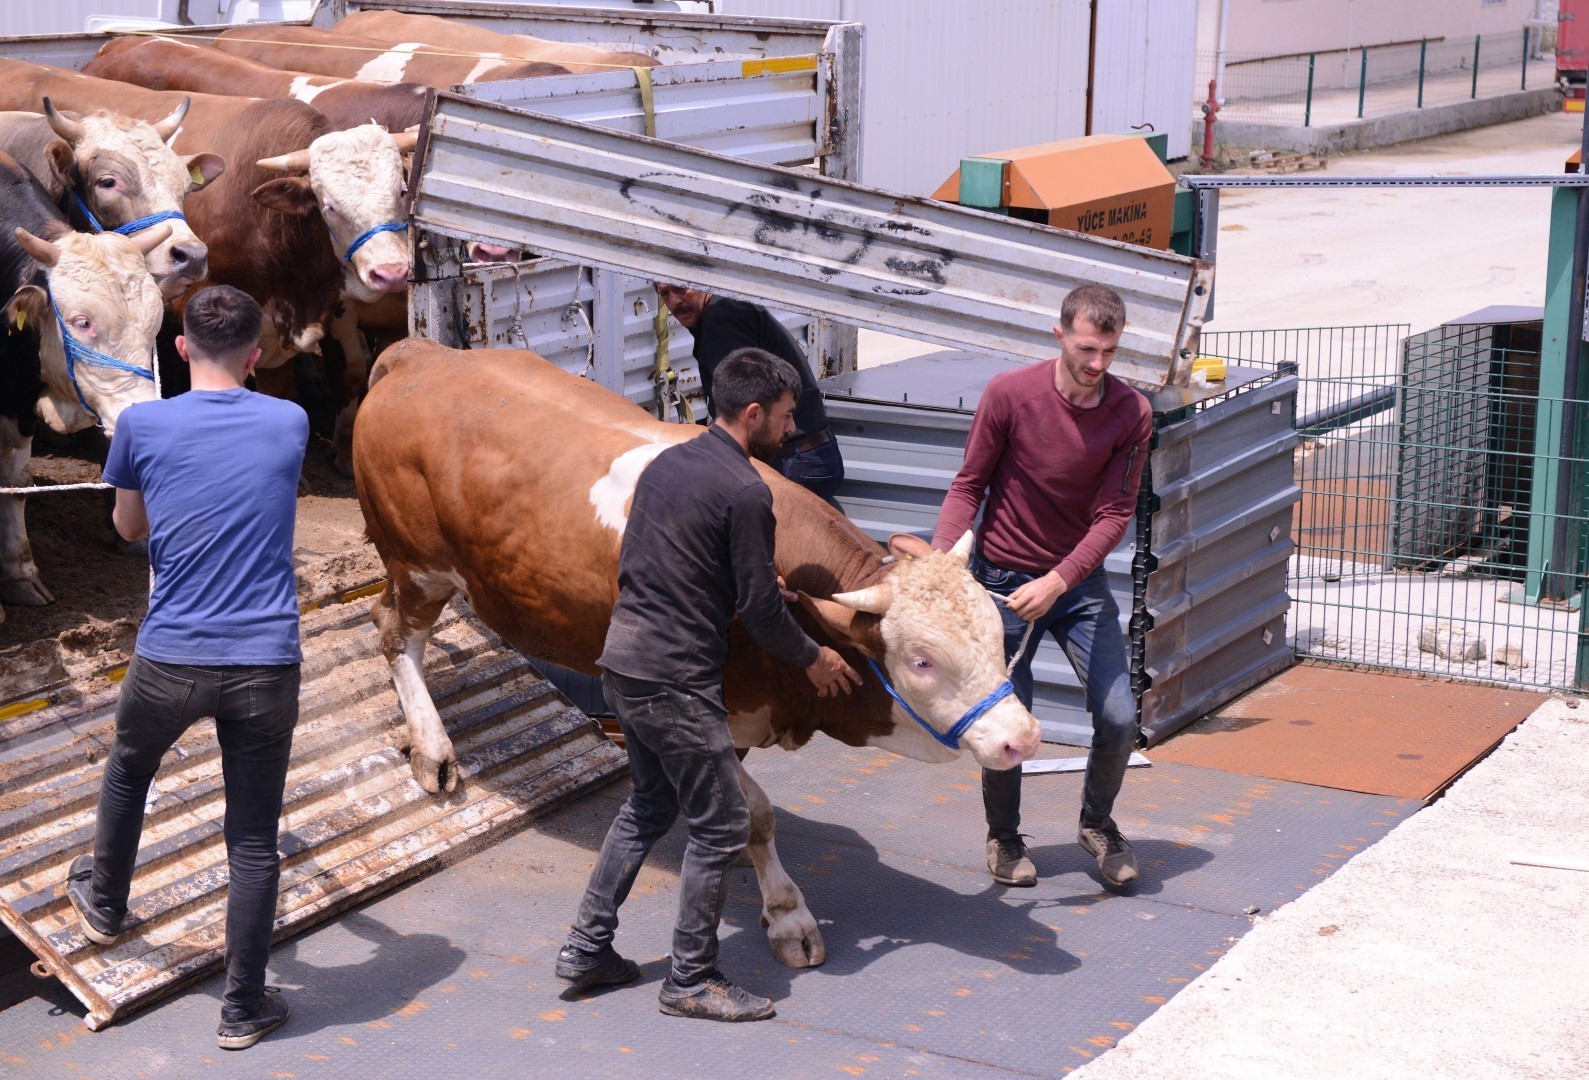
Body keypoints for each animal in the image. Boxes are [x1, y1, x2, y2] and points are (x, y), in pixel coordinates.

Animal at [352, 341, 1036, 965]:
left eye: (997, 634)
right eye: (922, 661)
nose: (1022, 737)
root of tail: (421, 356)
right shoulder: (704, 706)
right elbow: (754, 813)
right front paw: (788, 915)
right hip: (418, 566)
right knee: (393, 630)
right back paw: (434, 750)